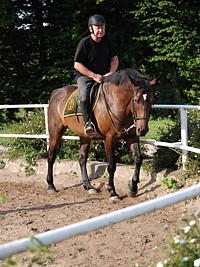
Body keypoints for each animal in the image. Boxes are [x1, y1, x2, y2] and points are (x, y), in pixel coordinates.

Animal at [46, 68, 155, 202]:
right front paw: (112, 192)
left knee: (82, 158)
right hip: (55, 133)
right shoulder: (109, 140)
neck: (117, 102)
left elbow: (138, 159)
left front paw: (132, 188)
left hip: (85, 137)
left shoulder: (132, 137)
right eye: (136, 99)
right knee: (51, 156)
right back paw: (51, 185)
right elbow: (111, 166)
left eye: (151, 100)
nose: (143, 129)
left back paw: (88, 186)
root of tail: (57, 92)